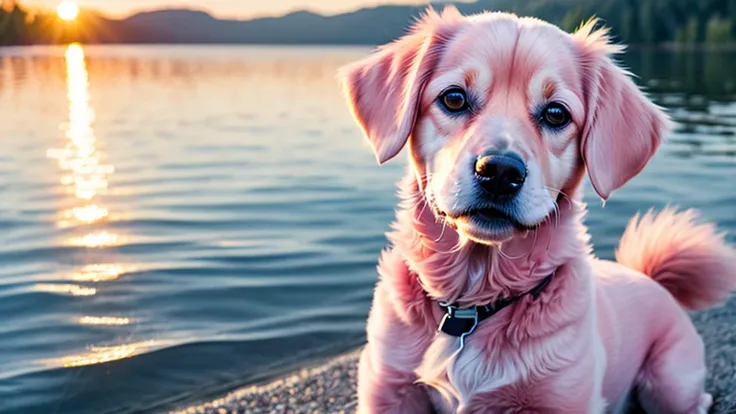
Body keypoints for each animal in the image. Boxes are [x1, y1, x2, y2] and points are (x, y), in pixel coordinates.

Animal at [338, 7, 736, 414]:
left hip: (669, 382)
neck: (472, 308)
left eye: (556, 113)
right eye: (454, 98)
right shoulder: (389, 389)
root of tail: (652, 280)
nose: (499, 172)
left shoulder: (564, 399)